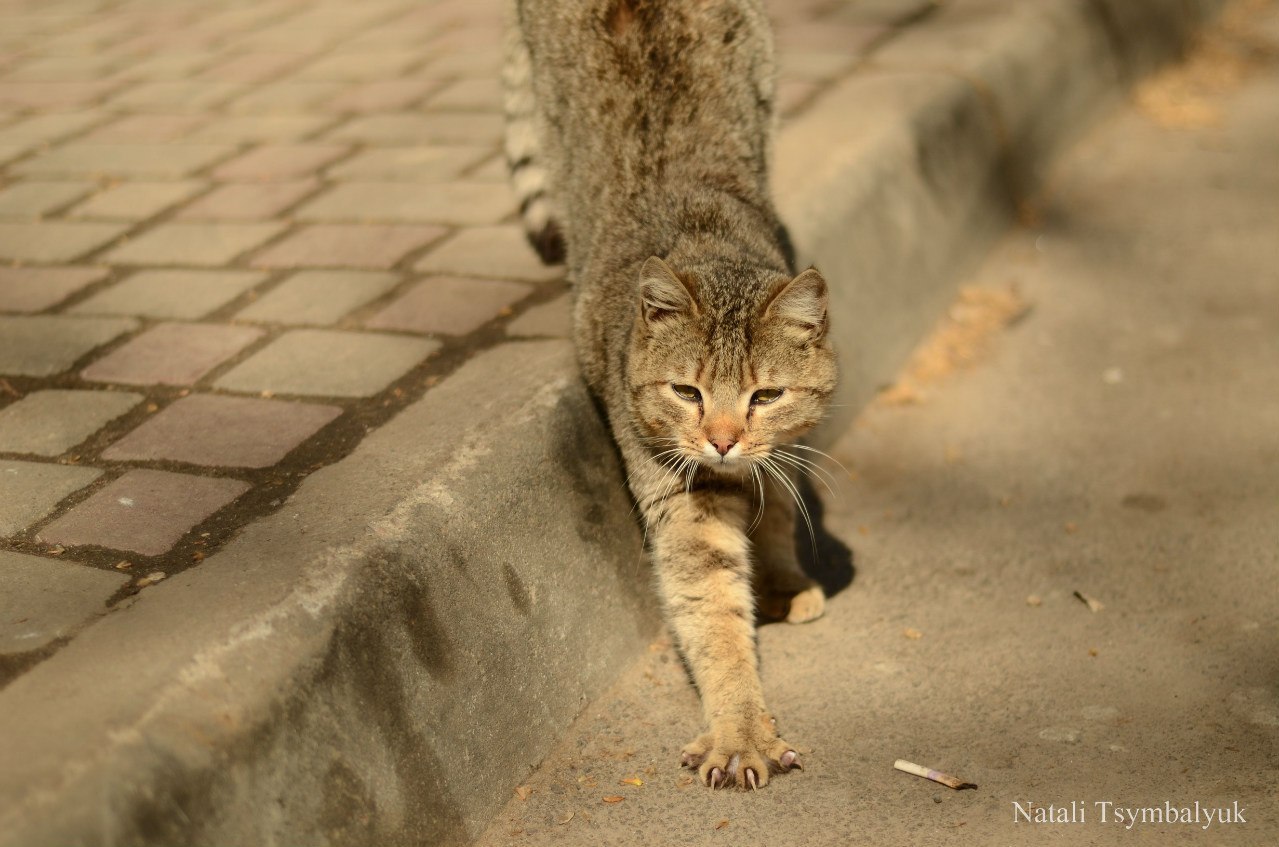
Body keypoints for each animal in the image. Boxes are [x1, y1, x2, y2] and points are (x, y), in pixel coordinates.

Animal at [503, 0, 833, 798]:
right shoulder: (682, 500)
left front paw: (784, 576)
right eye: (686, 391)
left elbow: (781, 507)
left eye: (765, 393)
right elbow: (713, 613)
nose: (722, 439)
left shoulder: (789, 447)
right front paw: (741, 728)